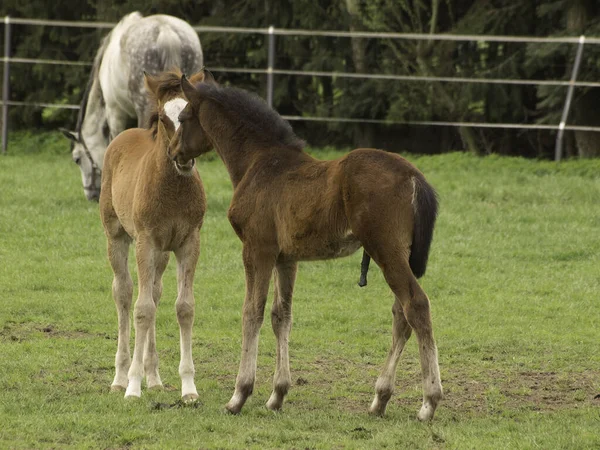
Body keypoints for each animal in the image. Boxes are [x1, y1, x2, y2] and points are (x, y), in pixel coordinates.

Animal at [100, 70, 206, 400]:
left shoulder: (188, 242)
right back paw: (120, 378)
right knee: (124, 293)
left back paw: (155, 378)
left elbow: (184, 307)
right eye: (162, 117)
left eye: (193, 113)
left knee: (156, 292)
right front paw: (133, 387)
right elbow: (142, 309)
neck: (172, 189)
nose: (183, 157)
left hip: (162, 252)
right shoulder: (145, 242)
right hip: (117, 236)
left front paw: (188, 388)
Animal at [169, 72, 440, 420]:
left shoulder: (257, 249)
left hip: (386, 251)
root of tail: (414, 176)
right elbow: (280, 314)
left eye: (183, 118)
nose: (174, 153)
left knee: (415, 306)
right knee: (401, 315)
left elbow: (251, 312)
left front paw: (239, 395)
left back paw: (429, 401)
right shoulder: (286, 258)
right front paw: (277, 395)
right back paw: (380, 399)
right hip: (398, 255)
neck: (259, 162)